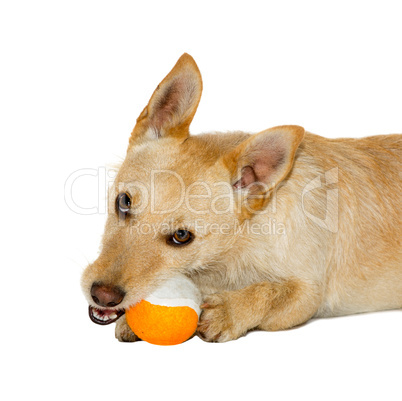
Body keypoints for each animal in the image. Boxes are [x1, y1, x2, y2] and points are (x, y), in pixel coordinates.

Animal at [80, 52, 400, 340]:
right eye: (123, 202)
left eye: (182, 236)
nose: (103, 295)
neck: (239, 246)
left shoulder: (307, 295)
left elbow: (271, 291)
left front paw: (229, 310)